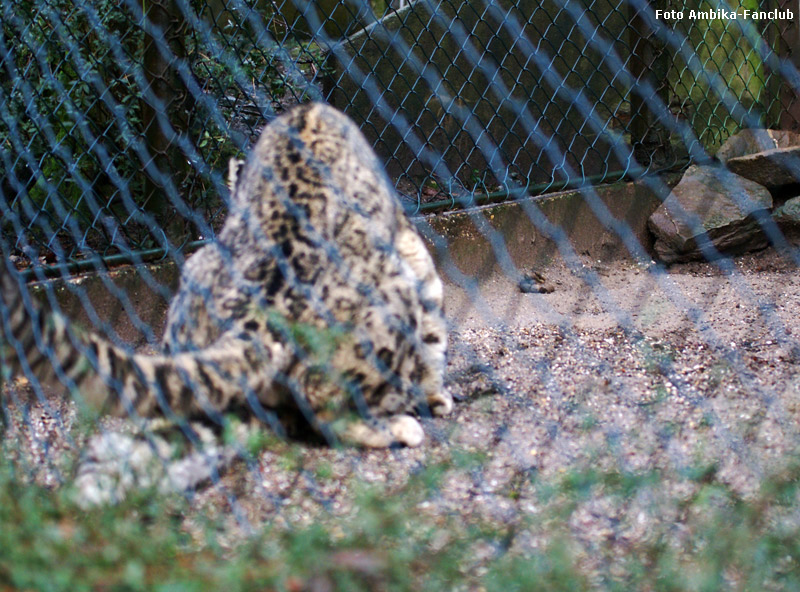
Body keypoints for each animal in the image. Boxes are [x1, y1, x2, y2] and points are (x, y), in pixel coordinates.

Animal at [0, 103, 450, 448]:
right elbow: (433, 330)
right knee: (326, 405)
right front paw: (435, 394)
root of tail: (262, 313)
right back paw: (398, 427)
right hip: (386, 302)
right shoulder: (412, 255)